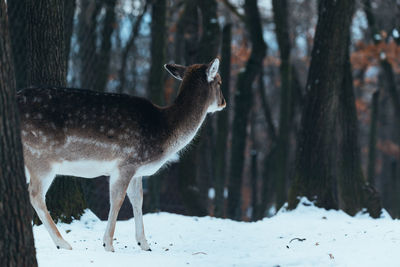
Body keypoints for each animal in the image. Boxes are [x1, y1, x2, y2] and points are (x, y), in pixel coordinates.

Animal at [18, 57, 225, 252]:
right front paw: (108, 245)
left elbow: (138, 200)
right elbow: (117, 200)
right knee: (36, 195)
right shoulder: (126, 163)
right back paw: (63, 243)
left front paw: (144, 244)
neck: (164, 130)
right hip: (40, 158)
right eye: (219, 81)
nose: (224, 103)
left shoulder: (137, 169)